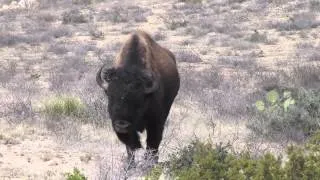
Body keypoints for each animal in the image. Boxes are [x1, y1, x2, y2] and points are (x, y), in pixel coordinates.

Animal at [95, 30, 180, 165]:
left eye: (138, 100)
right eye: (110, 96)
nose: (122, 125)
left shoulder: (155, 122)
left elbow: (152, 142)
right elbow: (130, 147)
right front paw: (130, 165)